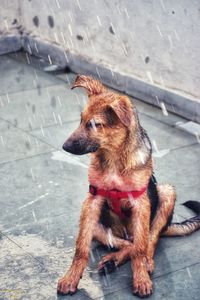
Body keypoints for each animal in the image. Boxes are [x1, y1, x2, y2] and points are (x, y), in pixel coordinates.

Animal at [57, 74, 200, 298]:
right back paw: (111, 261)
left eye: (94, 124)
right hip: (99, 226)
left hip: (166, 193)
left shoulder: (141, 203)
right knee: (127, 244)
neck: (114, 158)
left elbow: (141, 248)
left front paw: (140, 278)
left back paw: (144, 263)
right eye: (81, 121)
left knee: (147, 241)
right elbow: (81, 247)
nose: (64, 147)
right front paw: (71, 278)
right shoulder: (92, 200)